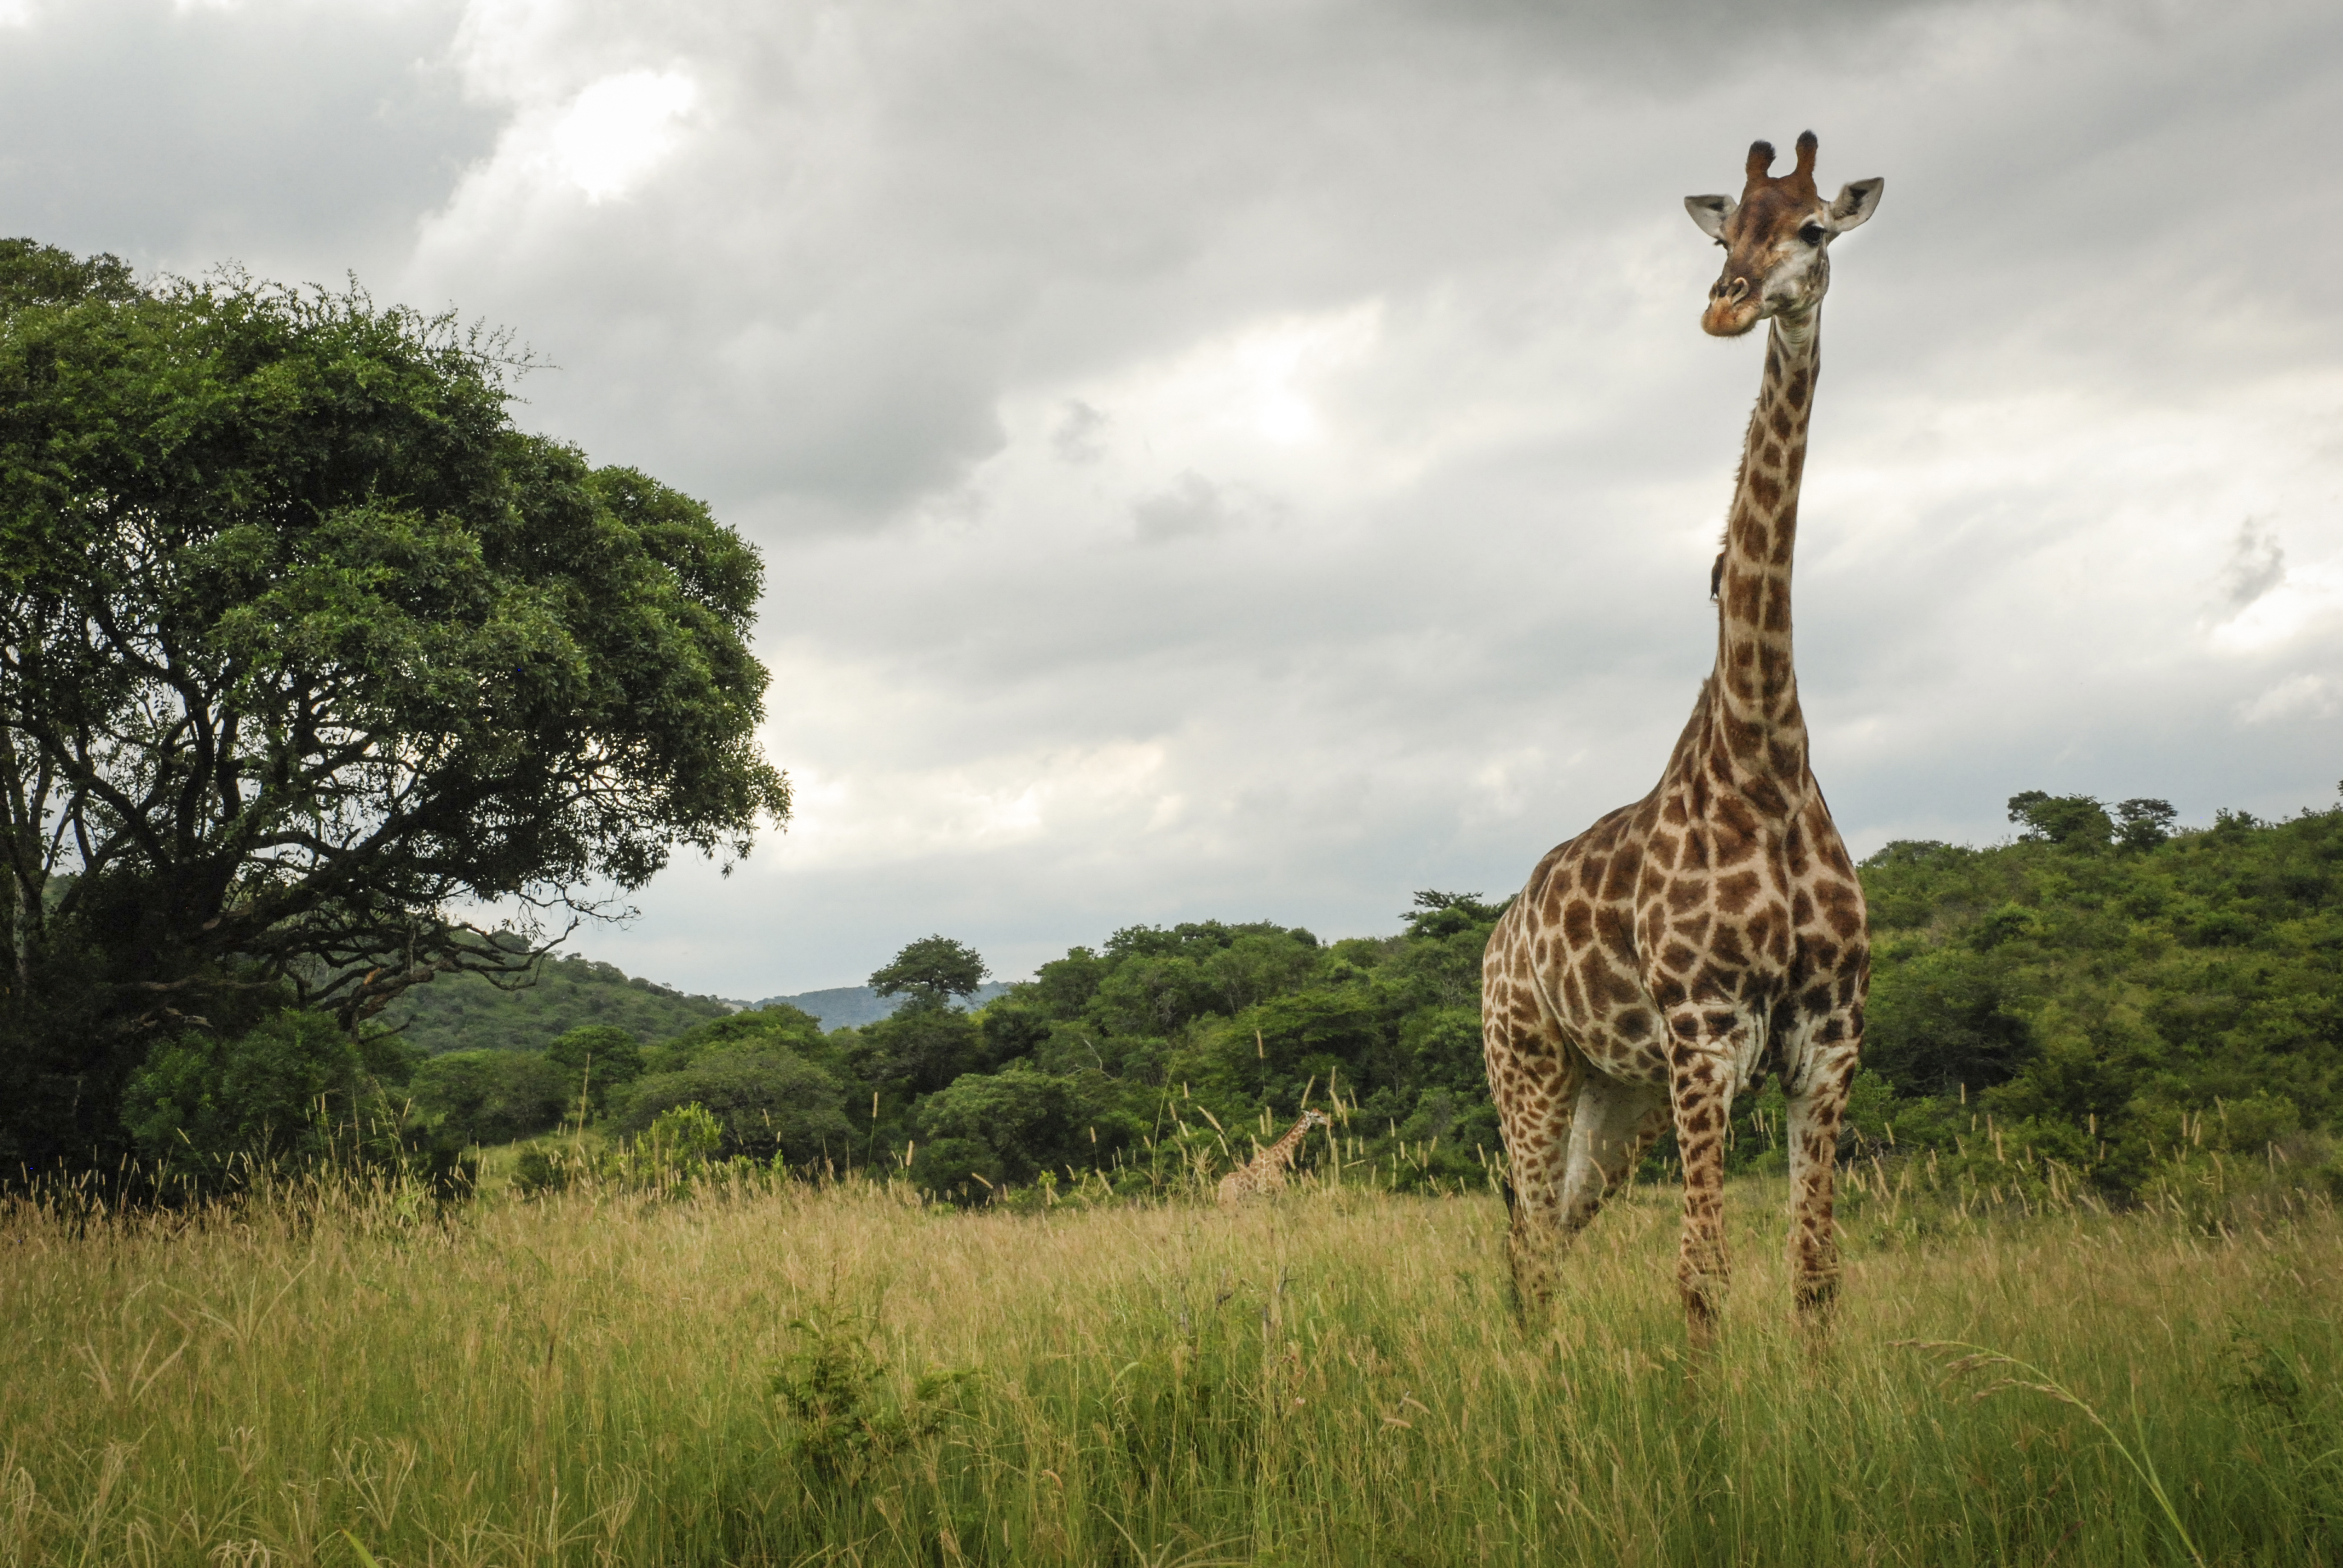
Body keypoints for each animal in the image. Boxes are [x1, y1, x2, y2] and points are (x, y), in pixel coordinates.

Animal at [1217, 1109, 1329, 1205]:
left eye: (1322, 1112)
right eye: (1317, 1116)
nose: (1330, 1122)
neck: (1277, 1159)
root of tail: (1220, 1188)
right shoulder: (1268, 1192)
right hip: (1231, 1202)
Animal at [1480, 131, 1882, 1347]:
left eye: (1810, 227)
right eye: (1721, 237)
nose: (1724, 306)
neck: (1765, 753)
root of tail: (1493, 943)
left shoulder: (1827, 1039)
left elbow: (1812, 1269)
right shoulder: (1705, 1036)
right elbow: (1700, 1270)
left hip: (1616, 1098)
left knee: (1549, 1233)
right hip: (1528, 1065)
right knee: (1527, 1242)